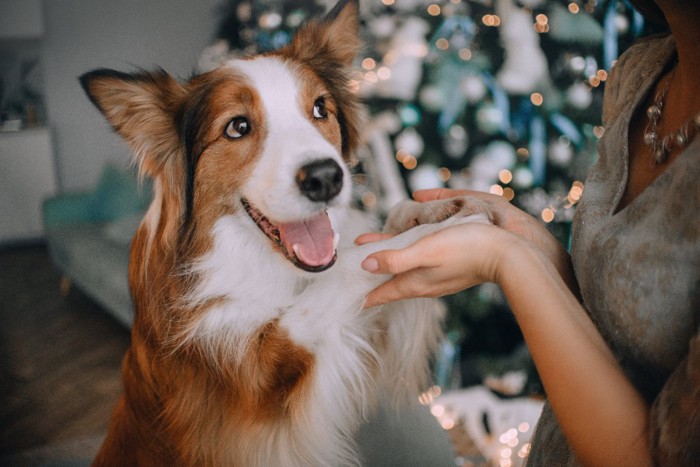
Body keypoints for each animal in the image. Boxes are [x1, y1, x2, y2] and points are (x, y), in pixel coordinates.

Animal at [79, 1, 490, 466]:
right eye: (237, 127)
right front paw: (450, 231)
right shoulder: (262, 375)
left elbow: (379, 230)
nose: (327, 178)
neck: (250, 253)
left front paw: (436, 207)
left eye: (320, 109)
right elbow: (347, 269)